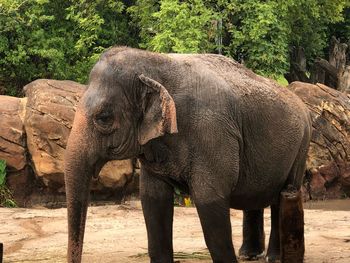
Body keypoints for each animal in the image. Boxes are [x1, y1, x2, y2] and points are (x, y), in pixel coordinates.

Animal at [64, 47, 310, 263]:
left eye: (104, 118)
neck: (155, 62)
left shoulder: (212, 133)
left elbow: (208, 200)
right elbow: (153, 201)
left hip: (302, 145)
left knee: (284, 194)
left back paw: (273, 257)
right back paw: (249, 255)